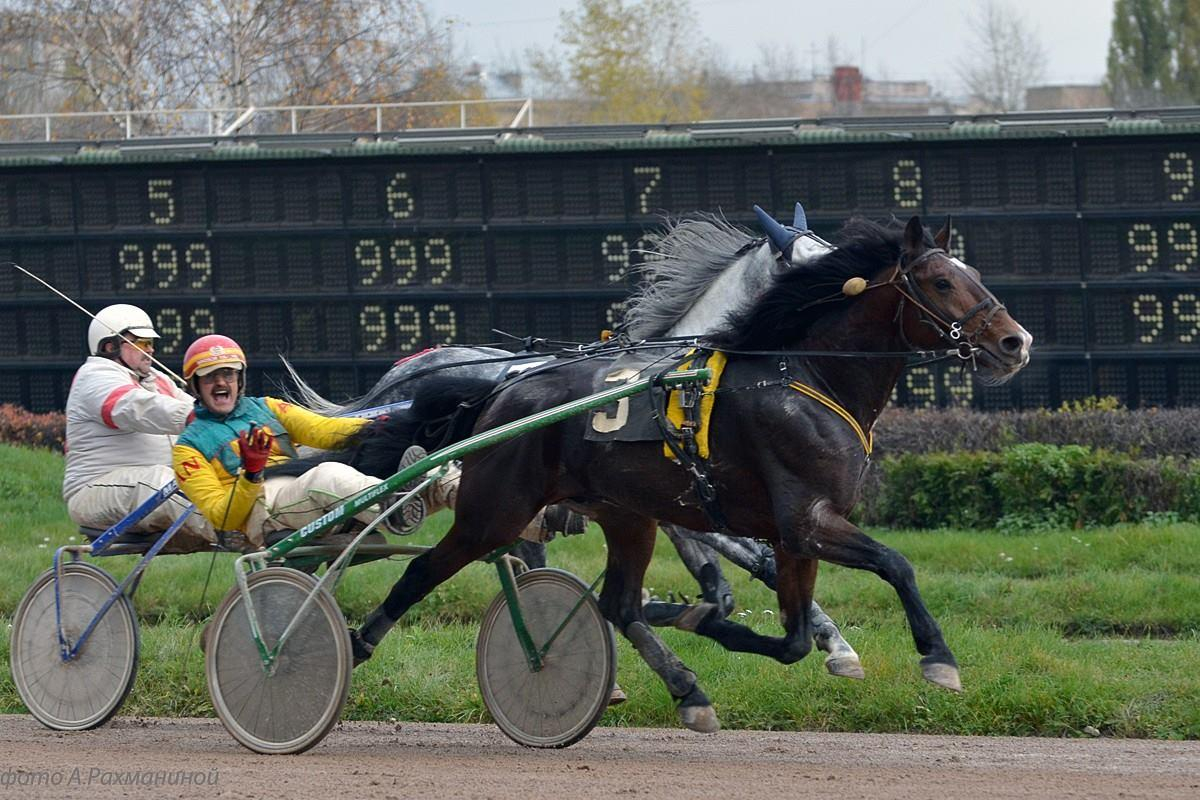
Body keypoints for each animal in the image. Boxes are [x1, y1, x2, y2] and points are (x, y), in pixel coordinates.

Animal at [350, 212, 1032, 734]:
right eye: (942, 282)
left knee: (615, 601)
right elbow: (896, 563)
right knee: (423, 570)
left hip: (622, 517)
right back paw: (353, 646)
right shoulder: (802, 521)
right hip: (496, 509)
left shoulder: (787, 533)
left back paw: (682, 686)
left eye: (974, 275)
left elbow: (787, 631)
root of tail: (497, 393)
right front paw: (937, 657)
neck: (804, 376)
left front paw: (716, 622)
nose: (1015, 342)